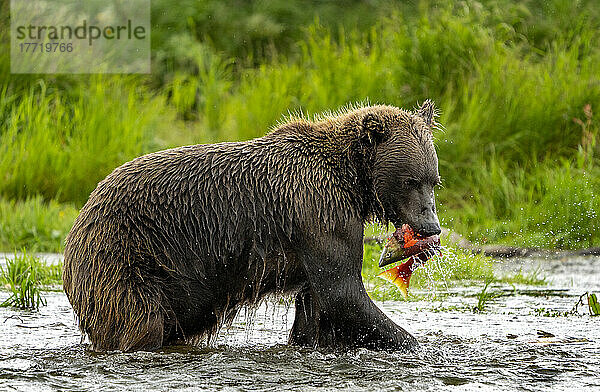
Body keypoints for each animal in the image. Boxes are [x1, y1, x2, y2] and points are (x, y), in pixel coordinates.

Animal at [63, 101, 442, 352]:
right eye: (410, 181)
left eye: (433, 181)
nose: (431, 226)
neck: (352, 183)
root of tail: (80, 216)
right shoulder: (320, 213)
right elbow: (344, 293)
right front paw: (415, 344)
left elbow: (318, 308)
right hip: (127, 257)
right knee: (139, 320)